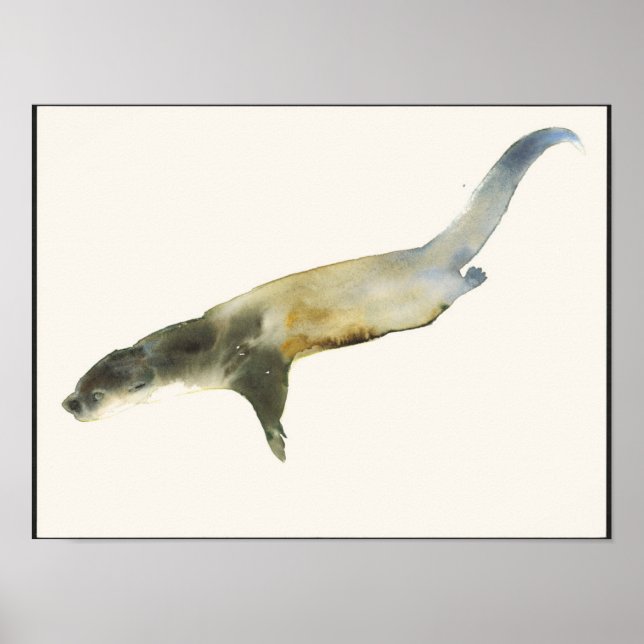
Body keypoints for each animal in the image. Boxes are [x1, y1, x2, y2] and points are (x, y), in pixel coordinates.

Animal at [62, 127, 582, 461]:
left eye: (98, 395)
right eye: (81, 380)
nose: (68, 404)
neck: (207, 340)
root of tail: (425, 251)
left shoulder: (255, 362)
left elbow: (270, 402)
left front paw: (278, 445)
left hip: (432, 292)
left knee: (457, 285)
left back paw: (477, 274)